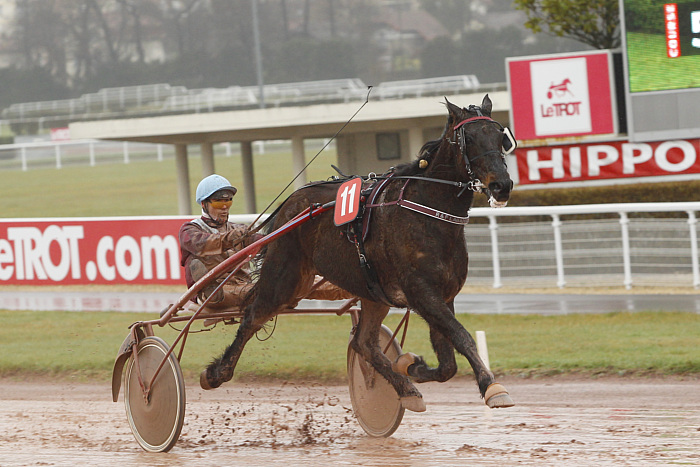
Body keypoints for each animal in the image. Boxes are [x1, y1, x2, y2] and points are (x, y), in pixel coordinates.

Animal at [200, 94, 516, 414]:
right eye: (470, 138)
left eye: (500, 136)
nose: (502, 185)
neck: (428, 211)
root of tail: (291, 202)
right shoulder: (421, 292)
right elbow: (462, 337)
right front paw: (492, 387)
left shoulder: (443, 294)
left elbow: (448, 361)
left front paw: (411, 366)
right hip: (284, 278)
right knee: (253, 316)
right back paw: (216, 373)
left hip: (372, 292)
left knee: (363, 343)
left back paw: (406, 389)